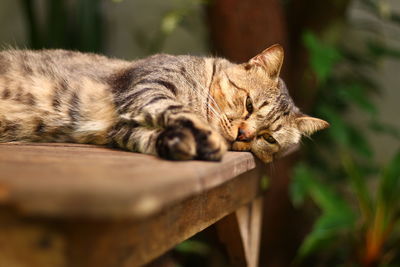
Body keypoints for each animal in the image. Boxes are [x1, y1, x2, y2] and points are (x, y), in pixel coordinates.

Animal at [0, 44, 328, 164]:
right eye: (249, 104)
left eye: (268, 138)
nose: (244, 135)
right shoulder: (149, 87)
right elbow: (177, 110)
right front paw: (205, 137)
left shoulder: (123, 129)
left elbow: (151, 136)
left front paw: (182, 143)